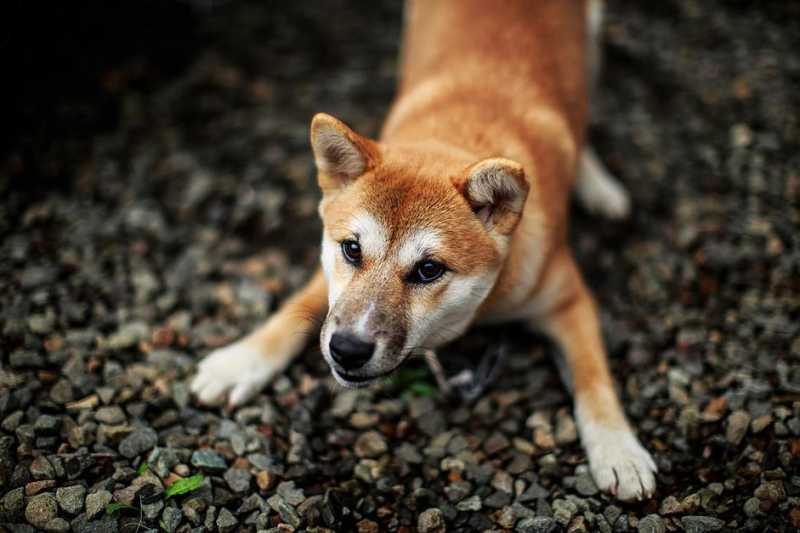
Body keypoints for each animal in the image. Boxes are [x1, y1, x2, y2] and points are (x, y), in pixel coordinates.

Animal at [192, 0, 656, 498]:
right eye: (351, 249)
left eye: (429, 269)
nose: (347, 350)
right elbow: (296, 310)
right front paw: (241, 360)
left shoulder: (569, 298)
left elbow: (594, 380)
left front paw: (619, 450)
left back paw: (597, 183)